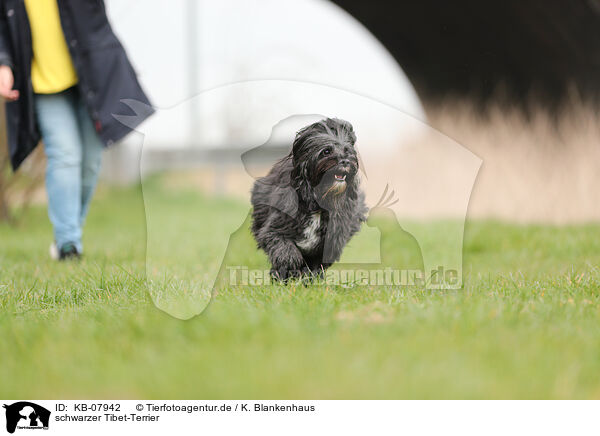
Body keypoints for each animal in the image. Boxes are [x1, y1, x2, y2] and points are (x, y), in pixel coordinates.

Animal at [251, 117, 368, 282]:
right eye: (326, 151)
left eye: (347, 151)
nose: (345, 161)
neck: (318, 202)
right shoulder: (275, 227)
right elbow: (281, 245)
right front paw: (289, 265)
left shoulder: (331, 239)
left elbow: (318, 260)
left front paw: (309, 277)